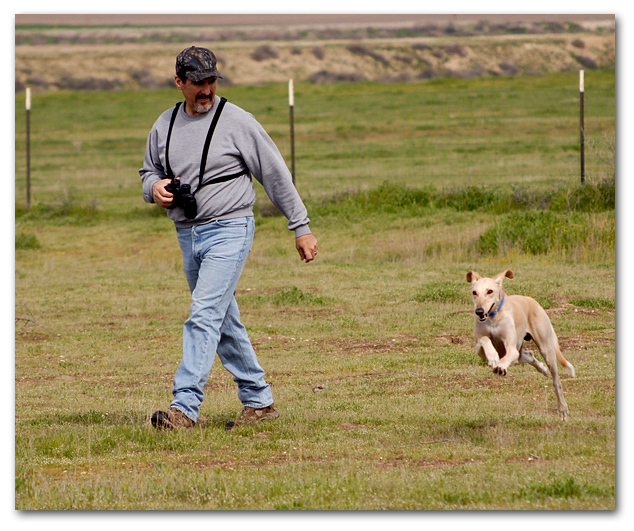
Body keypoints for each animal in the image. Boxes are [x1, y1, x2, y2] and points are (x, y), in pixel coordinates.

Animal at [464, 270, 572, 420]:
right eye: (474, 292)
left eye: (490, 291)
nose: (479, 311)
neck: (493, 317)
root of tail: (532, 300)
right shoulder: (481, 350)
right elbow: (485, 341)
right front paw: (493, 358)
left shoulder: (511, 348)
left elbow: (505, 357)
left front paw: (500, 366)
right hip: (520, 355)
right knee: (529, 355)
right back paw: (542, 368)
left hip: (546, 349)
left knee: (556, 382)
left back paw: (562, 409)